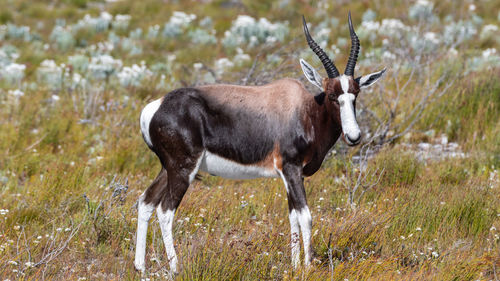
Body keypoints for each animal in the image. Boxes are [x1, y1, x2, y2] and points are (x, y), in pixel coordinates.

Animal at [134, 12, 386, 272]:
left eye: (355, 93)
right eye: (332, 95)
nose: (354, 136)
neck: (305, 109)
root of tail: (156, 106)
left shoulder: (290, 175)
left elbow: (293, 216)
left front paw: (294, 265)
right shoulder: (291, 169)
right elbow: (306, 216)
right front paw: (307, 267)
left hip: (168, 168)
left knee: (145, 202)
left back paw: (140, 266)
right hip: (183, 169)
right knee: (165, 210)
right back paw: (176, 268)